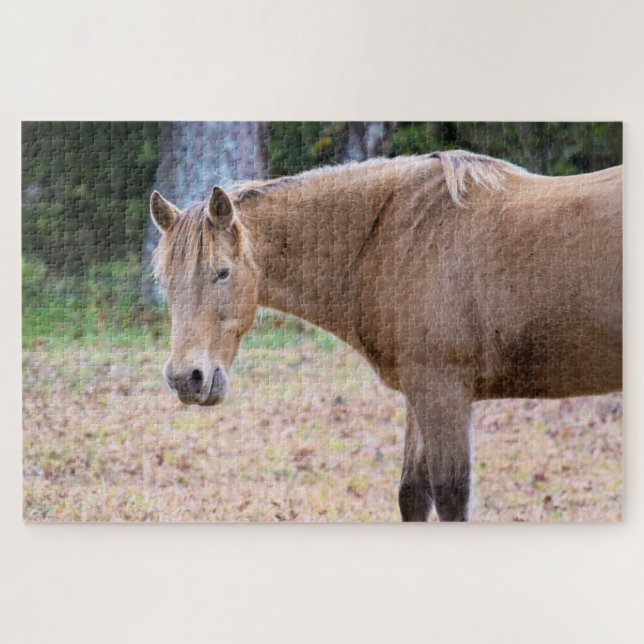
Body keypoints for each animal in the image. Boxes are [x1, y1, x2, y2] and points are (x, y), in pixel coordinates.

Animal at [150, 150, 622, 522]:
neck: (396, 237)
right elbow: (413, 495)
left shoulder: (443, 393)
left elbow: (451, 496)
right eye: (163, 280)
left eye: (222, 272)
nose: (186, 379)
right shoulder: (419, 393)